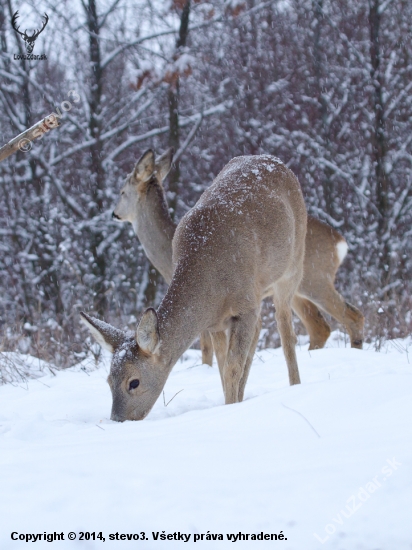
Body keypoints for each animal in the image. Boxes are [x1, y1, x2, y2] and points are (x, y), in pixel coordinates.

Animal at [80, 155, 308, 422]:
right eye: (108, 381)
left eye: (134, 382)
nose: (117, 420)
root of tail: (276, 161)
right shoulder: (216, 321)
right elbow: (222, 366)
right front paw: (230, 404)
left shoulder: (246, 305)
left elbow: (231, 367)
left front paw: (231, 409)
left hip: (292, 268)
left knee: (286, 332)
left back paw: (296, 386)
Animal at [110, 149, 364, 360]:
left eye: (122, 192)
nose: (114, 213)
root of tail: (340, 243)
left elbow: (207, 348)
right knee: (320, 327)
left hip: (314, 278)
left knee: (349, 316)